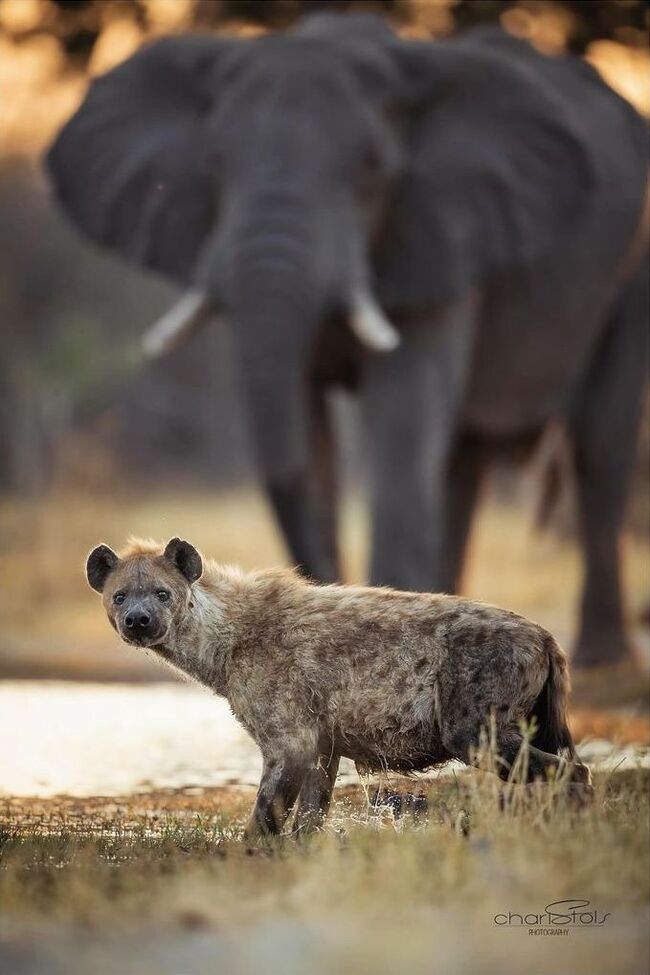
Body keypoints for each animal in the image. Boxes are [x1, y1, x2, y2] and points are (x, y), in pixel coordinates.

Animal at [44, 13, 644, 672]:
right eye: (215, 165)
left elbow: (402, 413)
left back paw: (601, 657)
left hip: (629, 268)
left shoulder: (439, 225)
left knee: (599, 443)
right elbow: (307, 425)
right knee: (463, 458)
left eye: (372, 169)